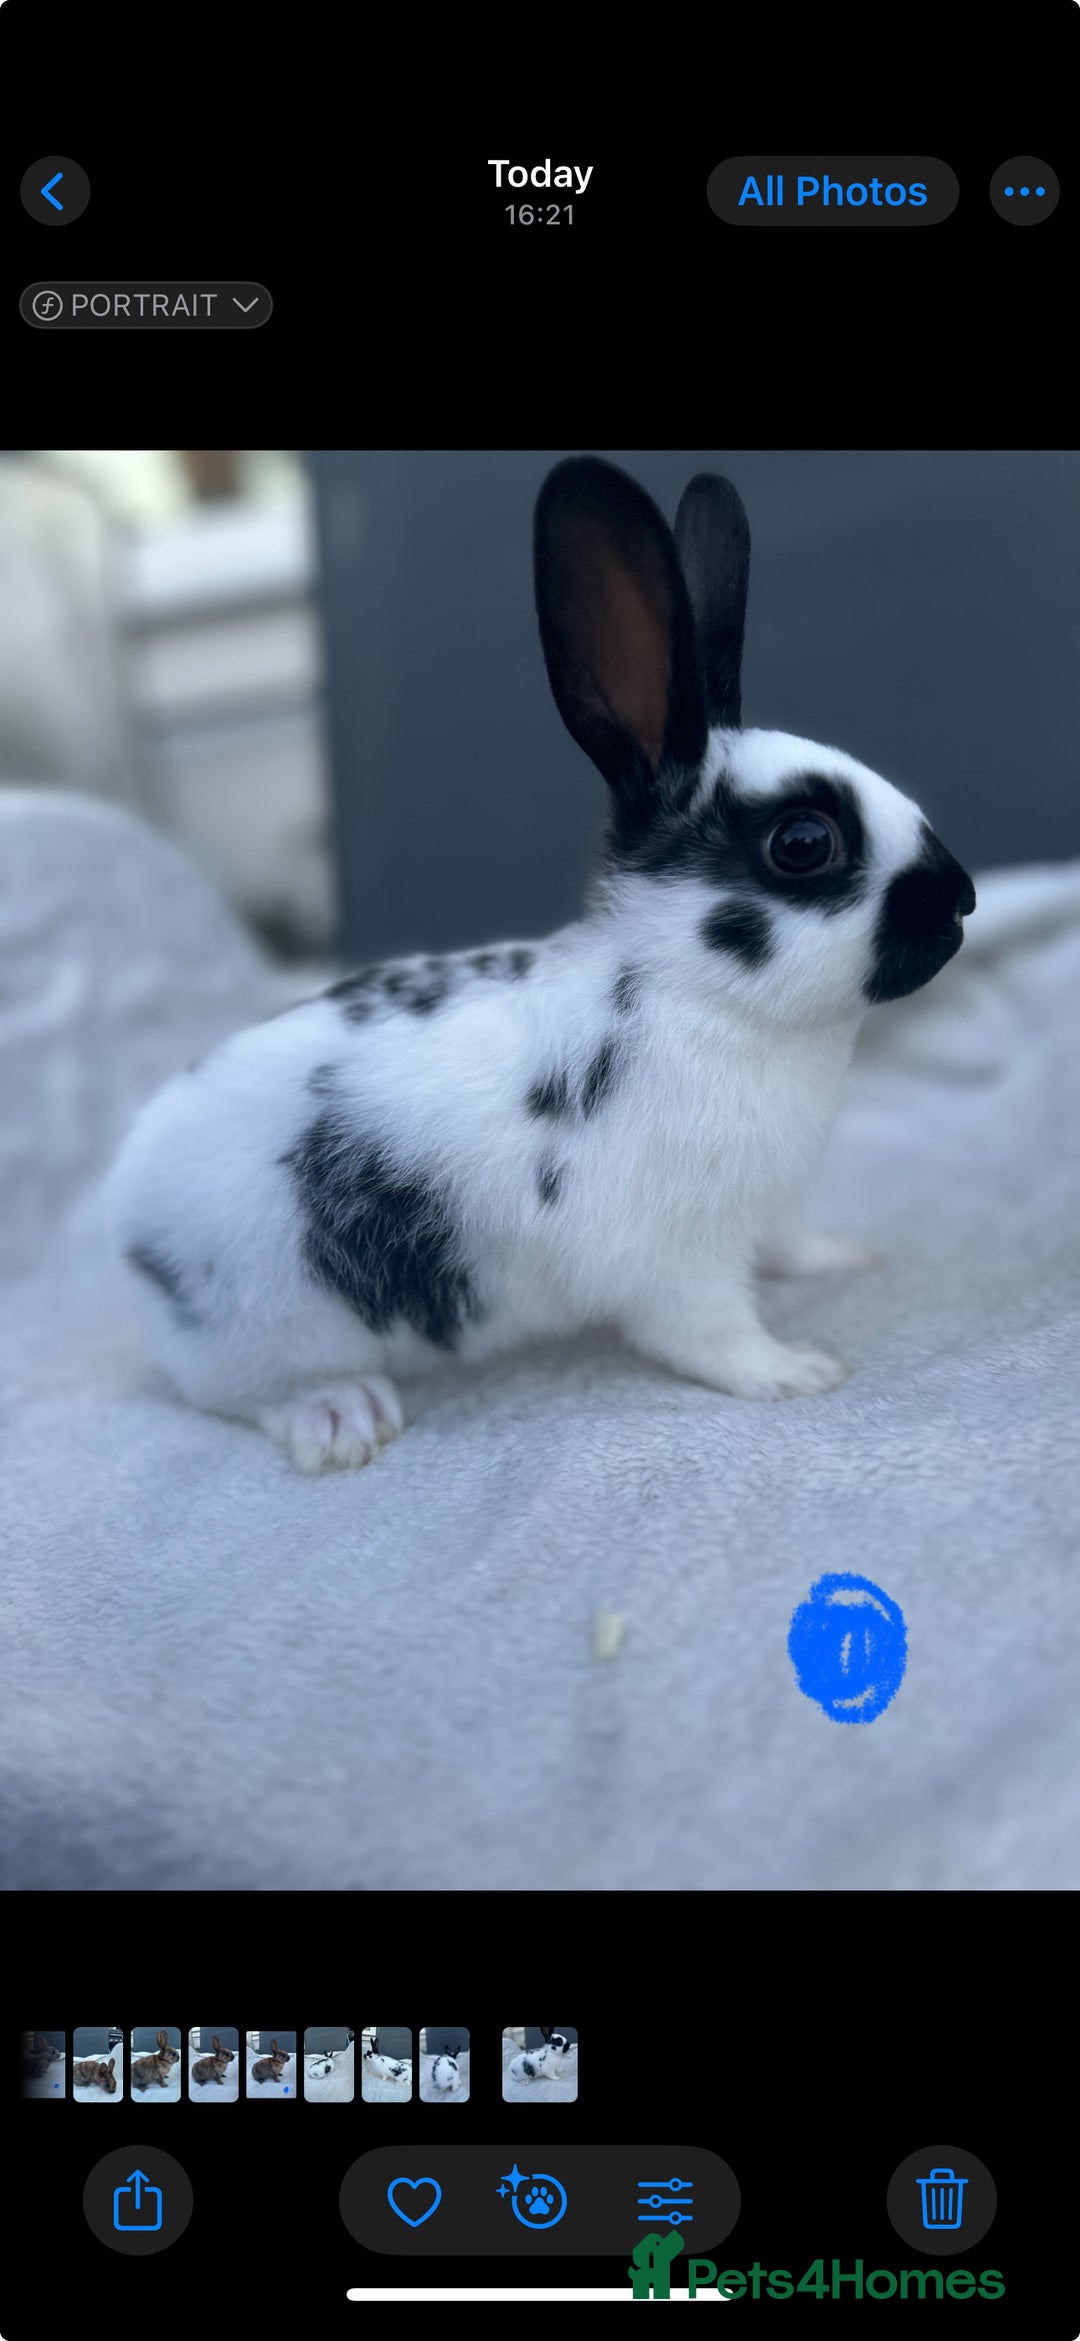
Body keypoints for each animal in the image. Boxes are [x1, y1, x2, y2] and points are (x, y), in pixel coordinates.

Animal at [106, 455, 976, 1470]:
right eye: (804, 843)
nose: (962, 901)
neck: (692, 996)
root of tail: (130, 1222)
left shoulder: (763, 1207)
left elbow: (790, 1240)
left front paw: (841, 1258)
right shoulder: (671, 1255)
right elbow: (711, 1333)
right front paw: (796, 1372)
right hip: (268, 1317)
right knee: (231, 1392)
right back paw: (339, 1415)